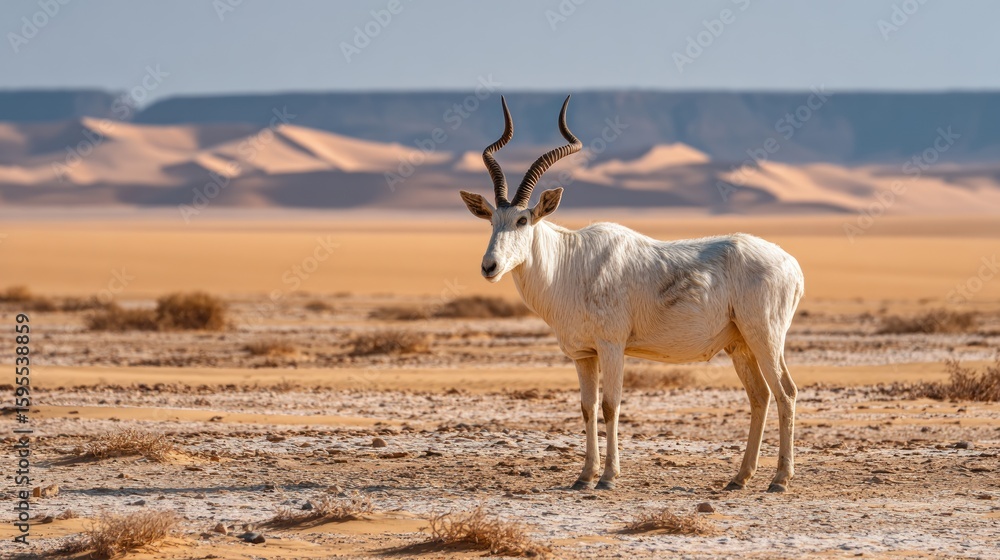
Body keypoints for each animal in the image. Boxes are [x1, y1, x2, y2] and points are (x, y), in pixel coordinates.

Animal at [459, 96, 805, 492]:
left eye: (522, 220)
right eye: (492, 220)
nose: (490, 266)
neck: (571, 262)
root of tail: (792, 266)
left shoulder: (612, 347)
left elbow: (611, 405)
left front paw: (609, 477)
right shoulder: (583, 354)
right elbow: (587, 407)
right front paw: (584, 476)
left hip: (765, 338)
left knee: (785, 393)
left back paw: (780, 479)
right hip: (740, 344)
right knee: (760, 395)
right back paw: (740, 477)